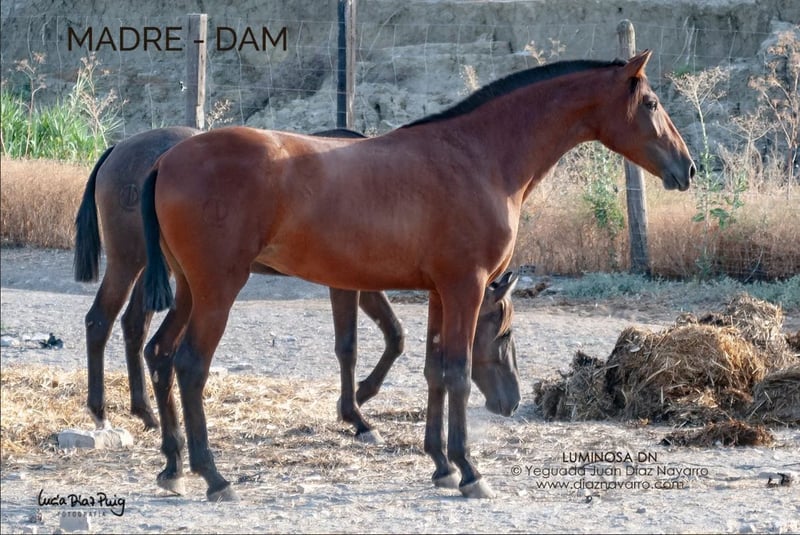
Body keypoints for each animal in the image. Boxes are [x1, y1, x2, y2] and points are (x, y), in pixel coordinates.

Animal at [73, 126, 520, 443]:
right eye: (503, 332)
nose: (512, 402)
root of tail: (119, 149)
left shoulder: (363, 282)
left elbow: (394, 336)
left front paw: (359, 398)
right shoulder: (348, 284)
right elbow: (355, 345)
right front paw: (357, 408)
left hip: (158, 273)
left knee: (134, 326)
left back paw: (146, 412)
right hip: (130, 262)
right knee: (100, 321)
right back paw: (101, 411)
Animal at [141, 49, 695, 501]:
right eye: (651, 103)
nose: (687, 168)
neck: (480, 156)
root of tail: (166, 160)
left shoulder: (439, 293)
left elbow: (434, 370)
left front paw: (441, 465)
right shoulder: (466, 288)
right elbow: (458, 373)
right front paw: (469, 471)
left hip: (190, 290)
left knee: (160, 353)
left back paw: (173, 468)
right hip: (219, 289)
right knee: (190, 365)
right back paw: (214, 477)